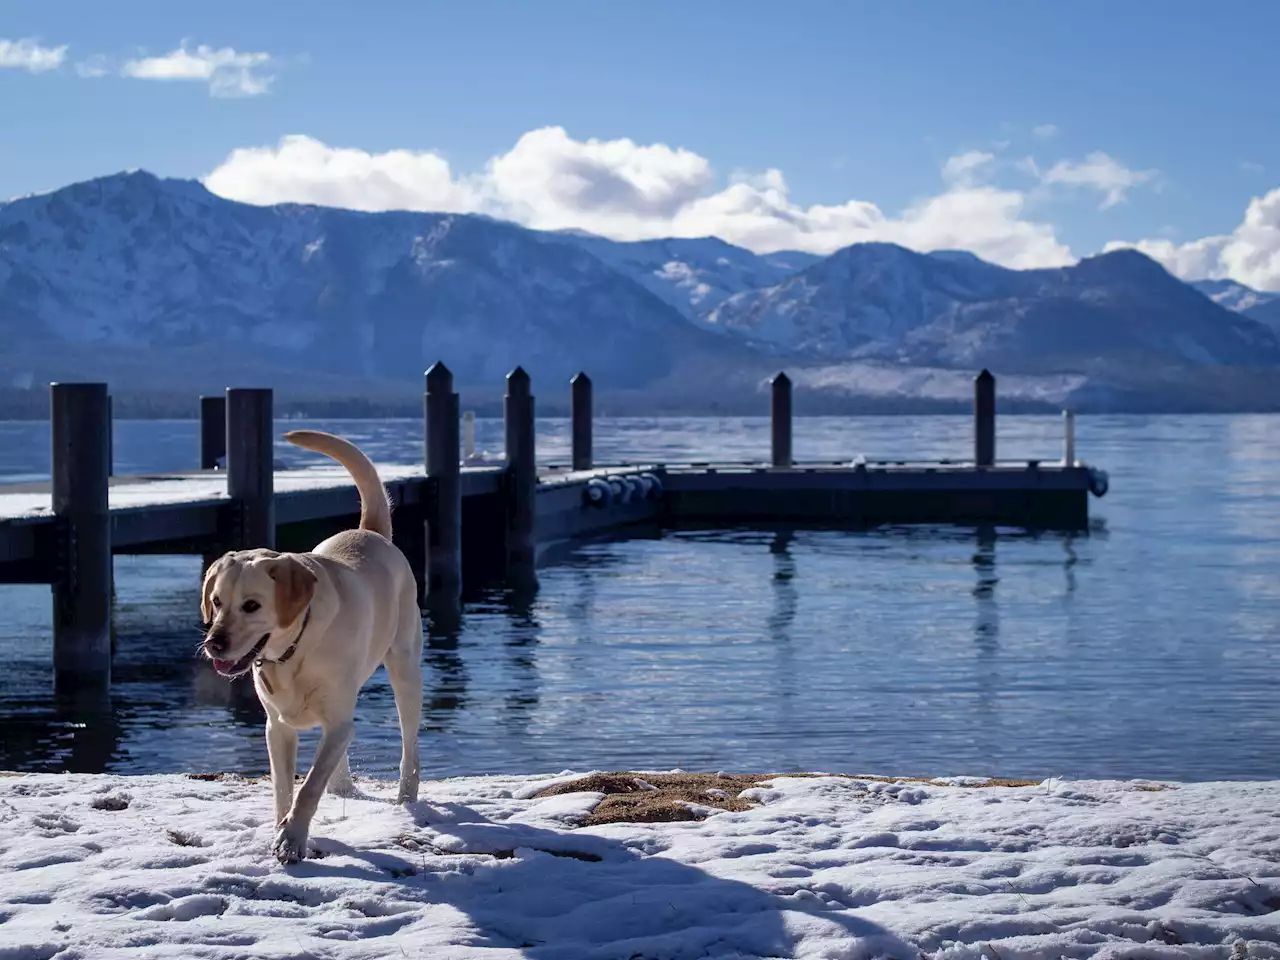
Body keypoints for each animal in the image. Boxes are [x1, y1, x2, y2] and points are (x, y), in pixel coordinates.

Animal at [197, 427, 422, 865]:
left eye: (252, 605)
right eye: (216, 601)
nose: (214, 643)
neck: (292, 653)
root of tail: (371, 532)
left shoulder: (336, 718)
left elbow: (309, 787)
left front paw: (292, 840)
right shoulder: (277, 728)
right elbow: (284, 789)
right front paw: (281, 830)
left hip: (405, 669)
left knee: (408, 743)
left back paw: (407, 796)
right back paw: (344, 786)